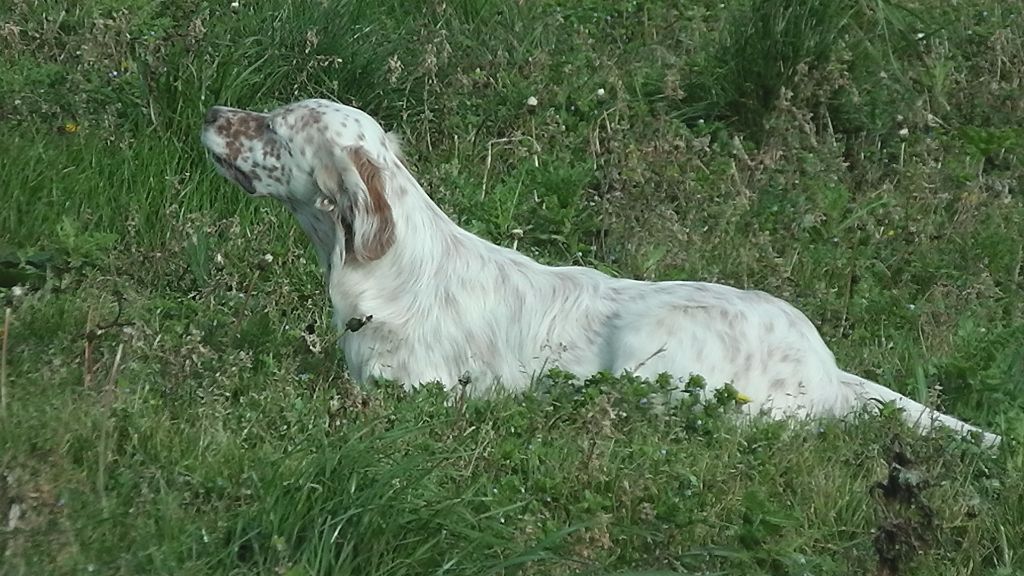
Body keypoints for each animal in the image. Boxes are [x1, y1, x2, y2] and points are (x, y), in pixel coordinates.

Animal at [197, 97, 999, 444]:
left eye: (274, 128)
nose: (211, 112)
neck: (392, 265)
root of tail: (828, 369)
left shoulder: (417, 393)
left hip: (656, 358)